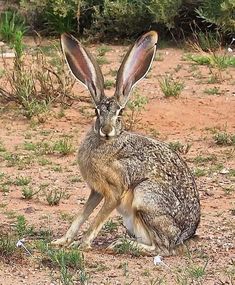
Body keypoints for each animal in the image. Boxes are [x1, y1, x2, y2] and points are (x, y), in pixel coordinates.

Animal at [52, 31, 200, 255]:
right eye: (96, 111)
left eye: (120, 113)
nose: (106, 130)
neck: (106, 142)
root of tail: (184, 236)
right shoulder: (96, 191)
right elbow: (81, 215)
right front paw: (62, 241)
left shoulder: (114, 190)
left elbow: (97, 219)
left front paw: (83, 244)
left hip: (145, 197)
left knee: (162, 248)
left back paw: (121, 243)